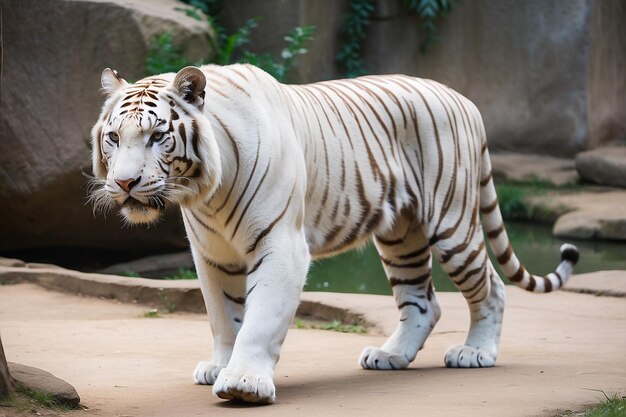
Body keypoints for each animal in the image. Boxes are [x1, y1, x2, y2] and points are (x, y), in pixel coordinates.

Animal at [88, 64, 576, 404]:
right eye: (114, 137)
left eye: (157, 137)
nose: (126, 183)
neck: (208, 190)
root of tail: (464, 99)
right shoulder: (212, 253)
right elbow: (223, 317)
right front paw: (220, 366)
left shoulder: (281, 246)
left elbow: (260, 319)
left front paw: (244, 382)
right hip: (401, 235)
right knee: (423, 301)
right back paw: (391, 356)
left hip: (451, 222)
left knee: (491, 286)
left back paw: (476, 353)